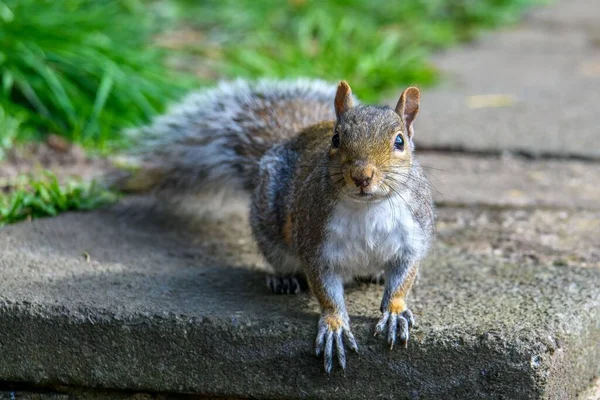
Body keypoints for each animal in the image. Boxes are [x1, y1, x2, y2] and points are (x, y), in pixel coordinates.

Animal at [109, 79, 436, 376]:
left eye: (399, 142)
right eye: (336, 139)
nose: (361, 176)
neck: (367, 208)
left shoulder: (412, 240)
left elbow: (402, 280)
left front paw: (394, 311)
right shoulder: (316, 246)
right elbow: (327, 293)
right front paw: (334, 326)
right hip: (270, 229)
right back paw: (284, 279)